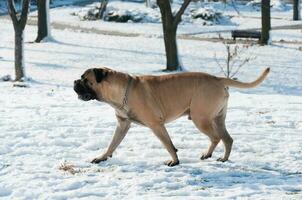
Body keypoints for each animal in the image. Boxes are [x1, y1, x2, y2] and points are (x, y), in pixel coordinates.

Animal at [74, 68, 270, 166]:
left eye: (85, 79)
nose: (75, 81)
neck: (121, 92)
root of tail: (218, 78)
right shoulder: (123, 125)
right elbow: (112, 144)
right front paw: (102, 157)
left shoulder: (156, 125)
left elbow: (168, 144)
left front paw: (174, 161)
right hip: (217, 119)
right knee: (227, 139)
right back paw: (221, 157)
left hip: (201, 118)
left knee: (216, 137)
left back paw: (212, 155)